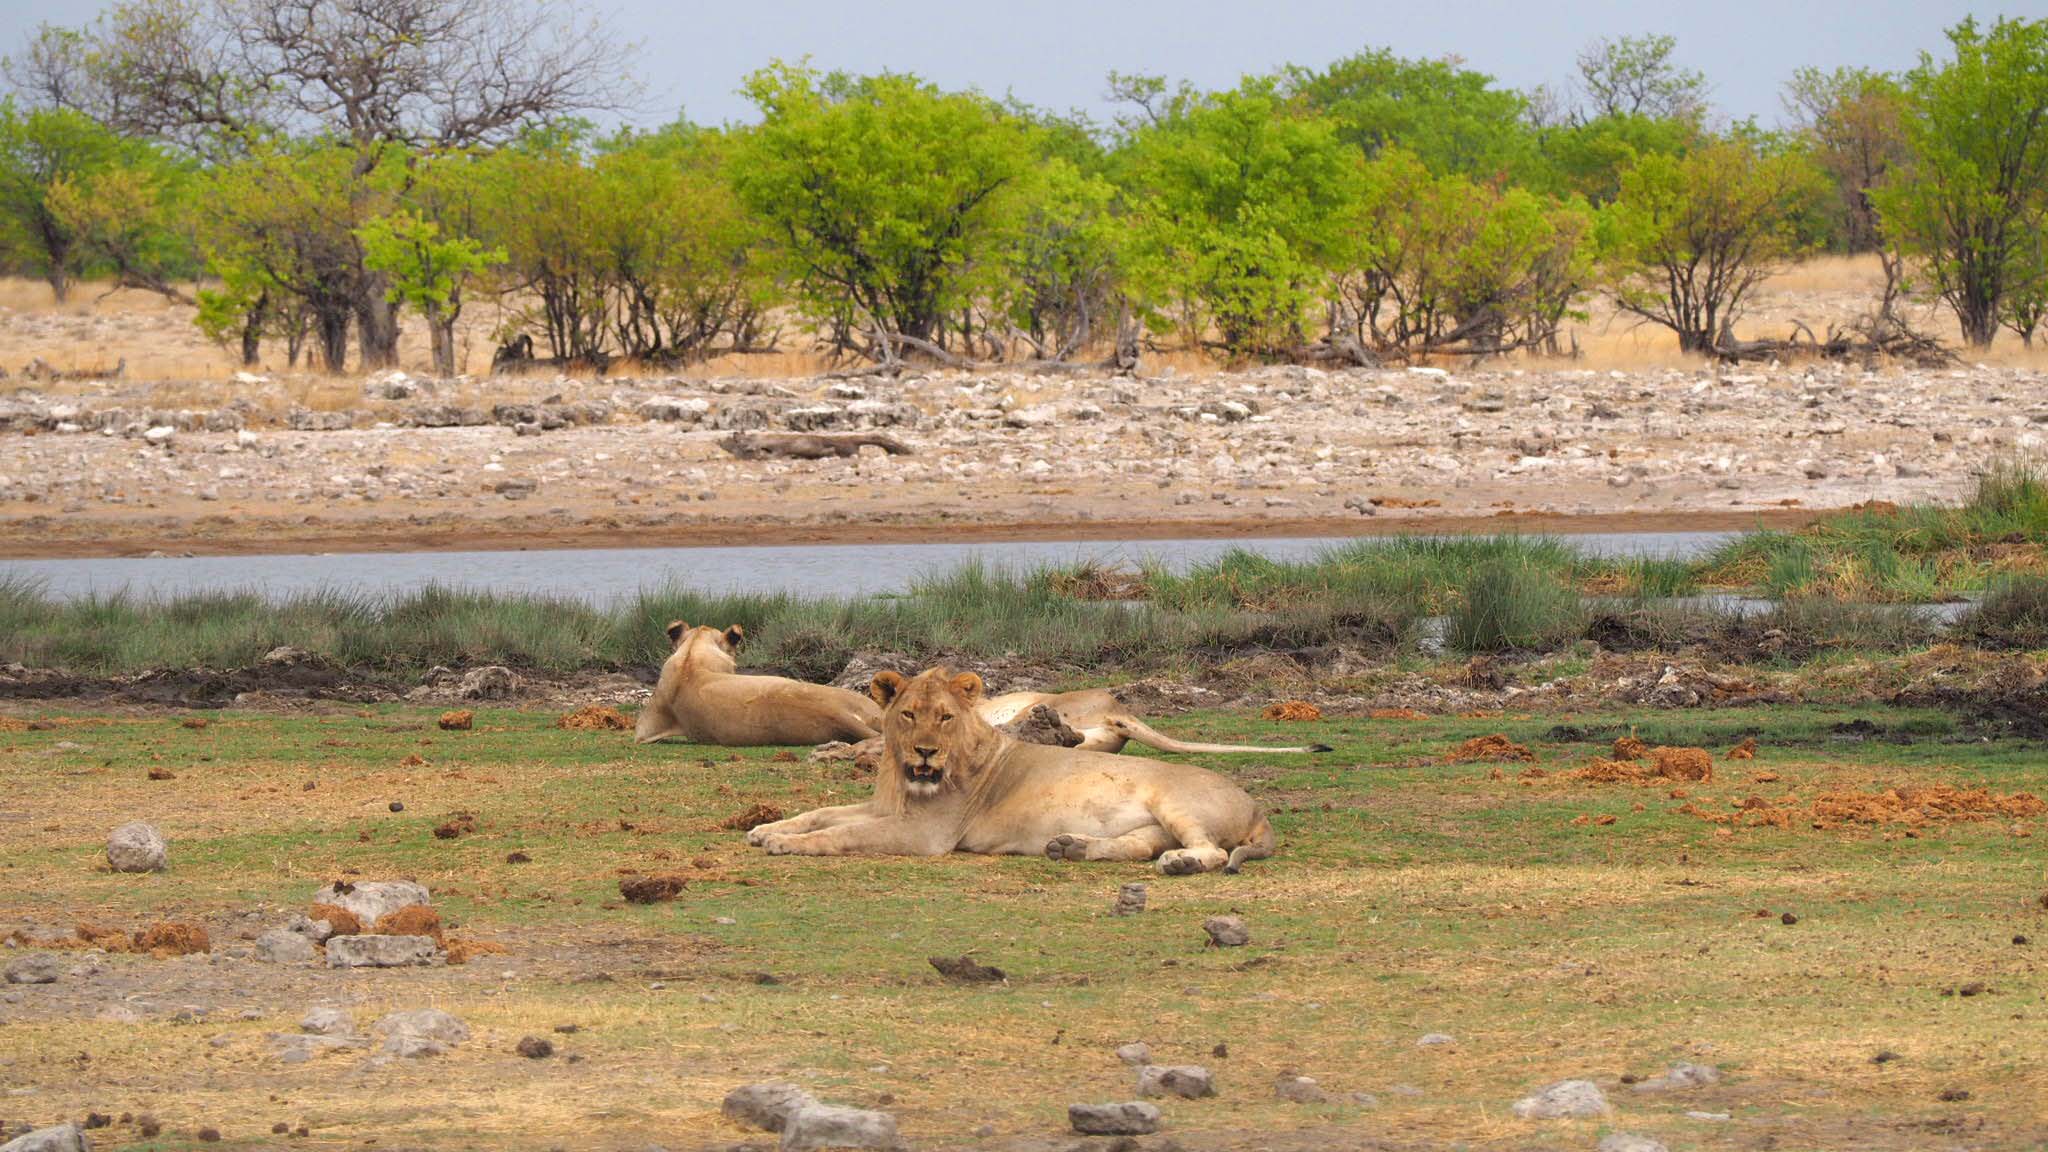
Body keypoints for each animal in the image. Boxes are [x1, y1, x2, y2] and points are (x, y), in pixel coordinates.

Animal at [745, 664, 1269, 869]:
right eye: (909, 714)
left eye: (946, 717)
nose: (926, 752)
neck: (900, 778)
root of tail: (1258, 808)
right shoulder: (886, 809)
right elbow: (822, 814)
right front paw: (766, 828)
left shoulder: (925, 834)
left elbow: (843, 833)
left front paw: (783, 843)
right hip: (1152, 826)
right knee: (1137, 844)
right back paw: (1072, 847)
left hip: (1176, 804)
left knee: (1212, 851)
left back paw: (1180, 863)